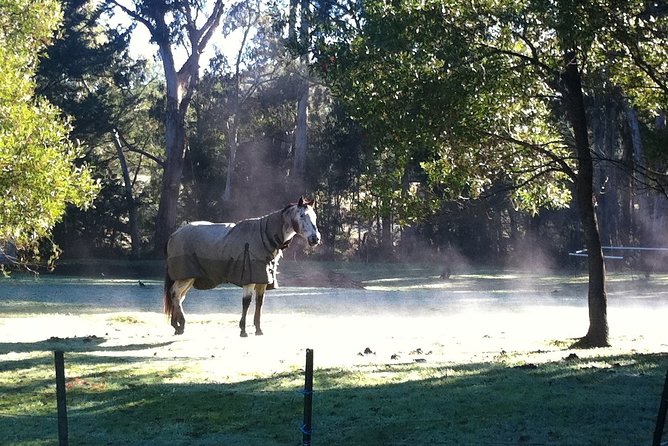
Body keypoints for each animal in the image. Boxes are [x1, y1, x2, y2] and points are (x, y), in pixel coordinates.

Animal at [162, 197, 318, 336]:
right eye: (302, 215)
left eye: (315, 217)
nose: (315, 239)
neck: (263, 236)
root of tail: (174, 235)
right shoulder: (249, 280)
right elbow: (246, 303)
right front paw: (243, 330)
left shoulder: (262, 280)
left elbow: (259, 303)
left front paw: (258, 329)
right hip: (185, 277)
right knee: (174, 294)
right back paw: (180, 324)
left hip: (189, 278)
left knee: (179, 297)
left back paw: (176, 325)